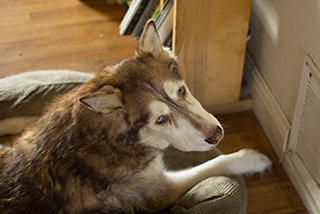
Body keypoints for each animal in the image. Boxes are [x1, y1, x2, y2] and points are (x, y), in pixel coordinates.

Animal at [0, 20, 272, 214]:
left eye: (181, 91)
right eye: (160, 120)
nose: (216, 135)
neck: (108, 138)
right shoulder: (158, 192)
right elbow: (215, 164)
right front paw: (251, 159)